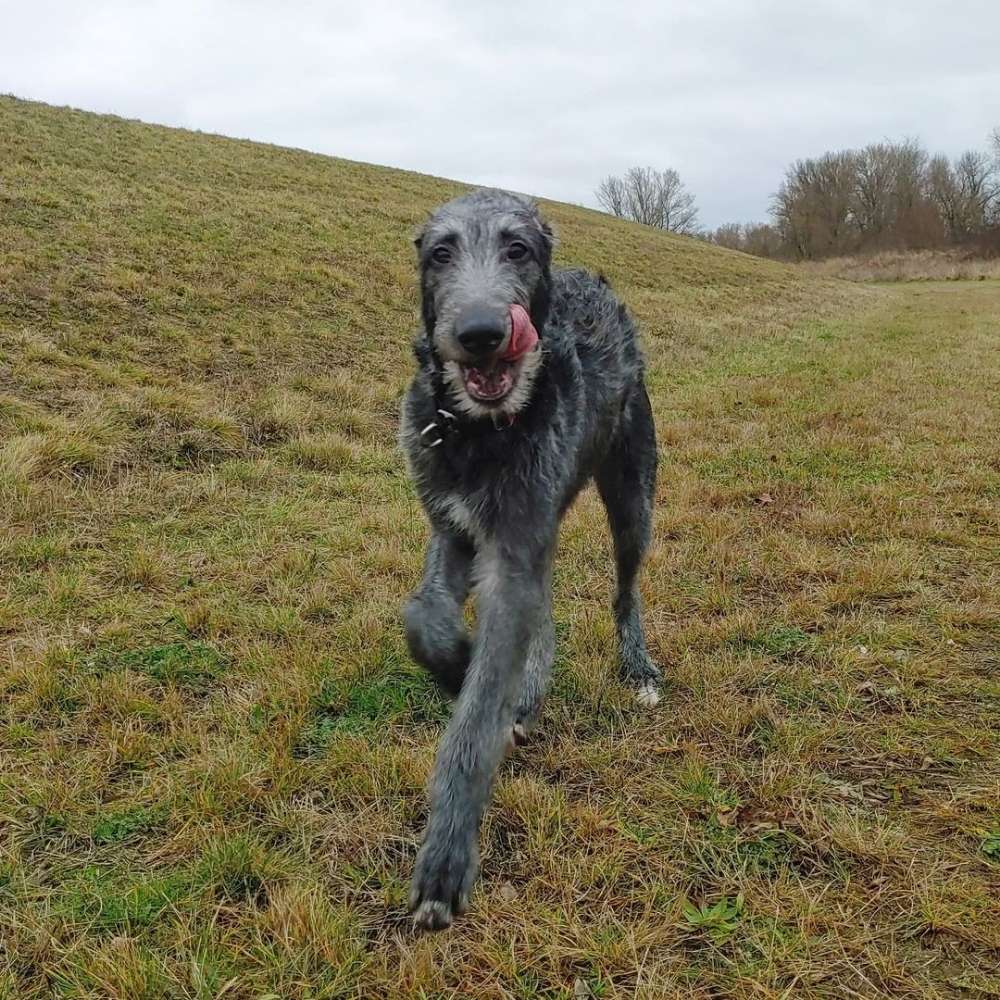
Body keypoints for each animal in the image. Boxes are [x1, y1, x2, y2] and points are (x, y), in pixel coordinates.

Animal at [398, 189, 664, 928]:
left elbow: (478, 712)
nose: (482, 332)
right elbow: (423, 617)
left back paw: (637, 666)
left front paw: (446, 857)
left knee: (624, 592)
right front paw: (456, 662)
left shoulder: (514, 549)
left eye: (516, 248)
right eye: (441, 252)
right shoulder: (454, 528)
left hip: (632, 492)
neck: (478, 432)